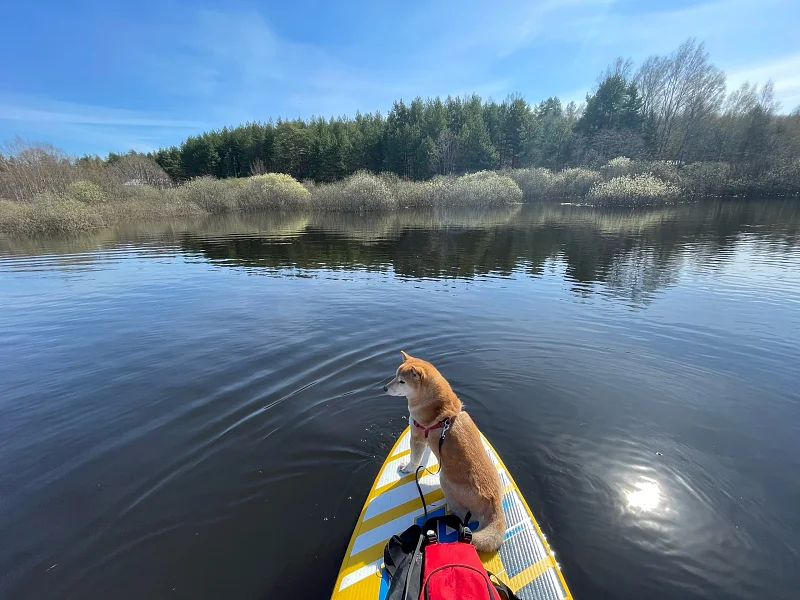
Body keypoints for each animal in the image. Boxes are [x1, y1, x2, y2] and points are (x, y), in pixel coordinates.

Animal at [382, 352, 506, 552]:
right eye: (395, 376)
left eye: (402, 381)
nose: (384, 388)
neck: (440, 408)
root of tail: (494, 502)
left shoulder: (417, 437)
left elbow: (414, 460)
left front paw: (407, 468)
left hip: (445, 480)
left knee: (463, 514)